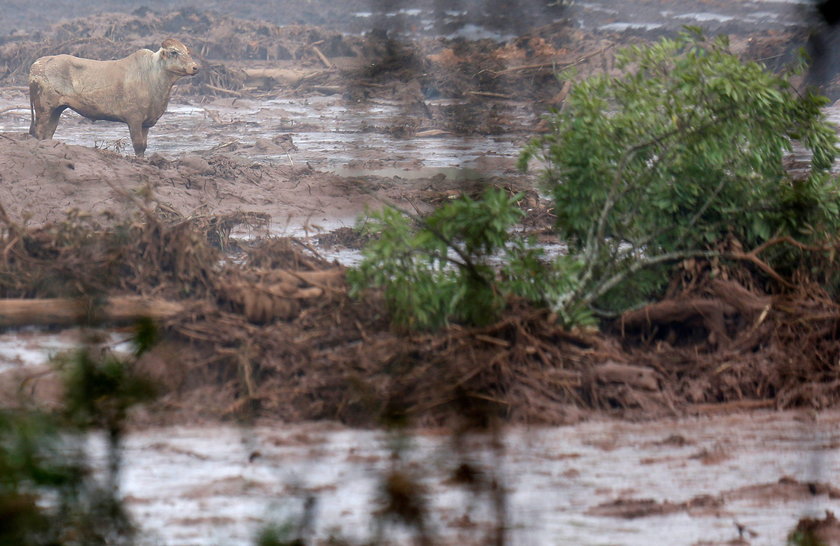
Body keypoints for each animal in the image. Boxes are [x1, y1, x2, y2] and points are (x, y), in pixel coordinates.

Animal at [28, 37, 200, 156]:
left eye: (188, 52)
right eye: (174, 52)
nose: (195, 67)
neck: (152, 78)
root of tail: (38, 62)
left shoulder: (146, 123)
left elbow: (144, 146)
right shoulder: (134, 118)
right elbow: (138, 145)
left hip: (56, 109)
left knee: (48, 134)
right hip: (44, 108)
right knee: (39, 132)